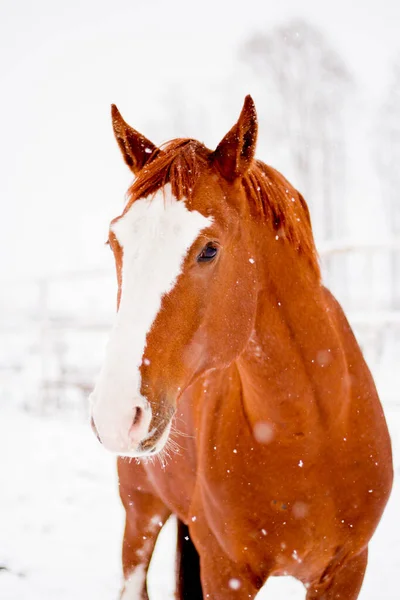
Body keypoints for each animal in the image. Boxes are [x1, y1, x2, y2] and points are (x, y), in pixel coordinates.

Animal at [89, 96, 392, 596]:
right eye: (115, 243)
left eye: (209, 249)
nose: (114, 413)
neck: (307, 436)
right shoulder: (224, 573)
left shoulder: (347, 570)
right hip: (140, 510)